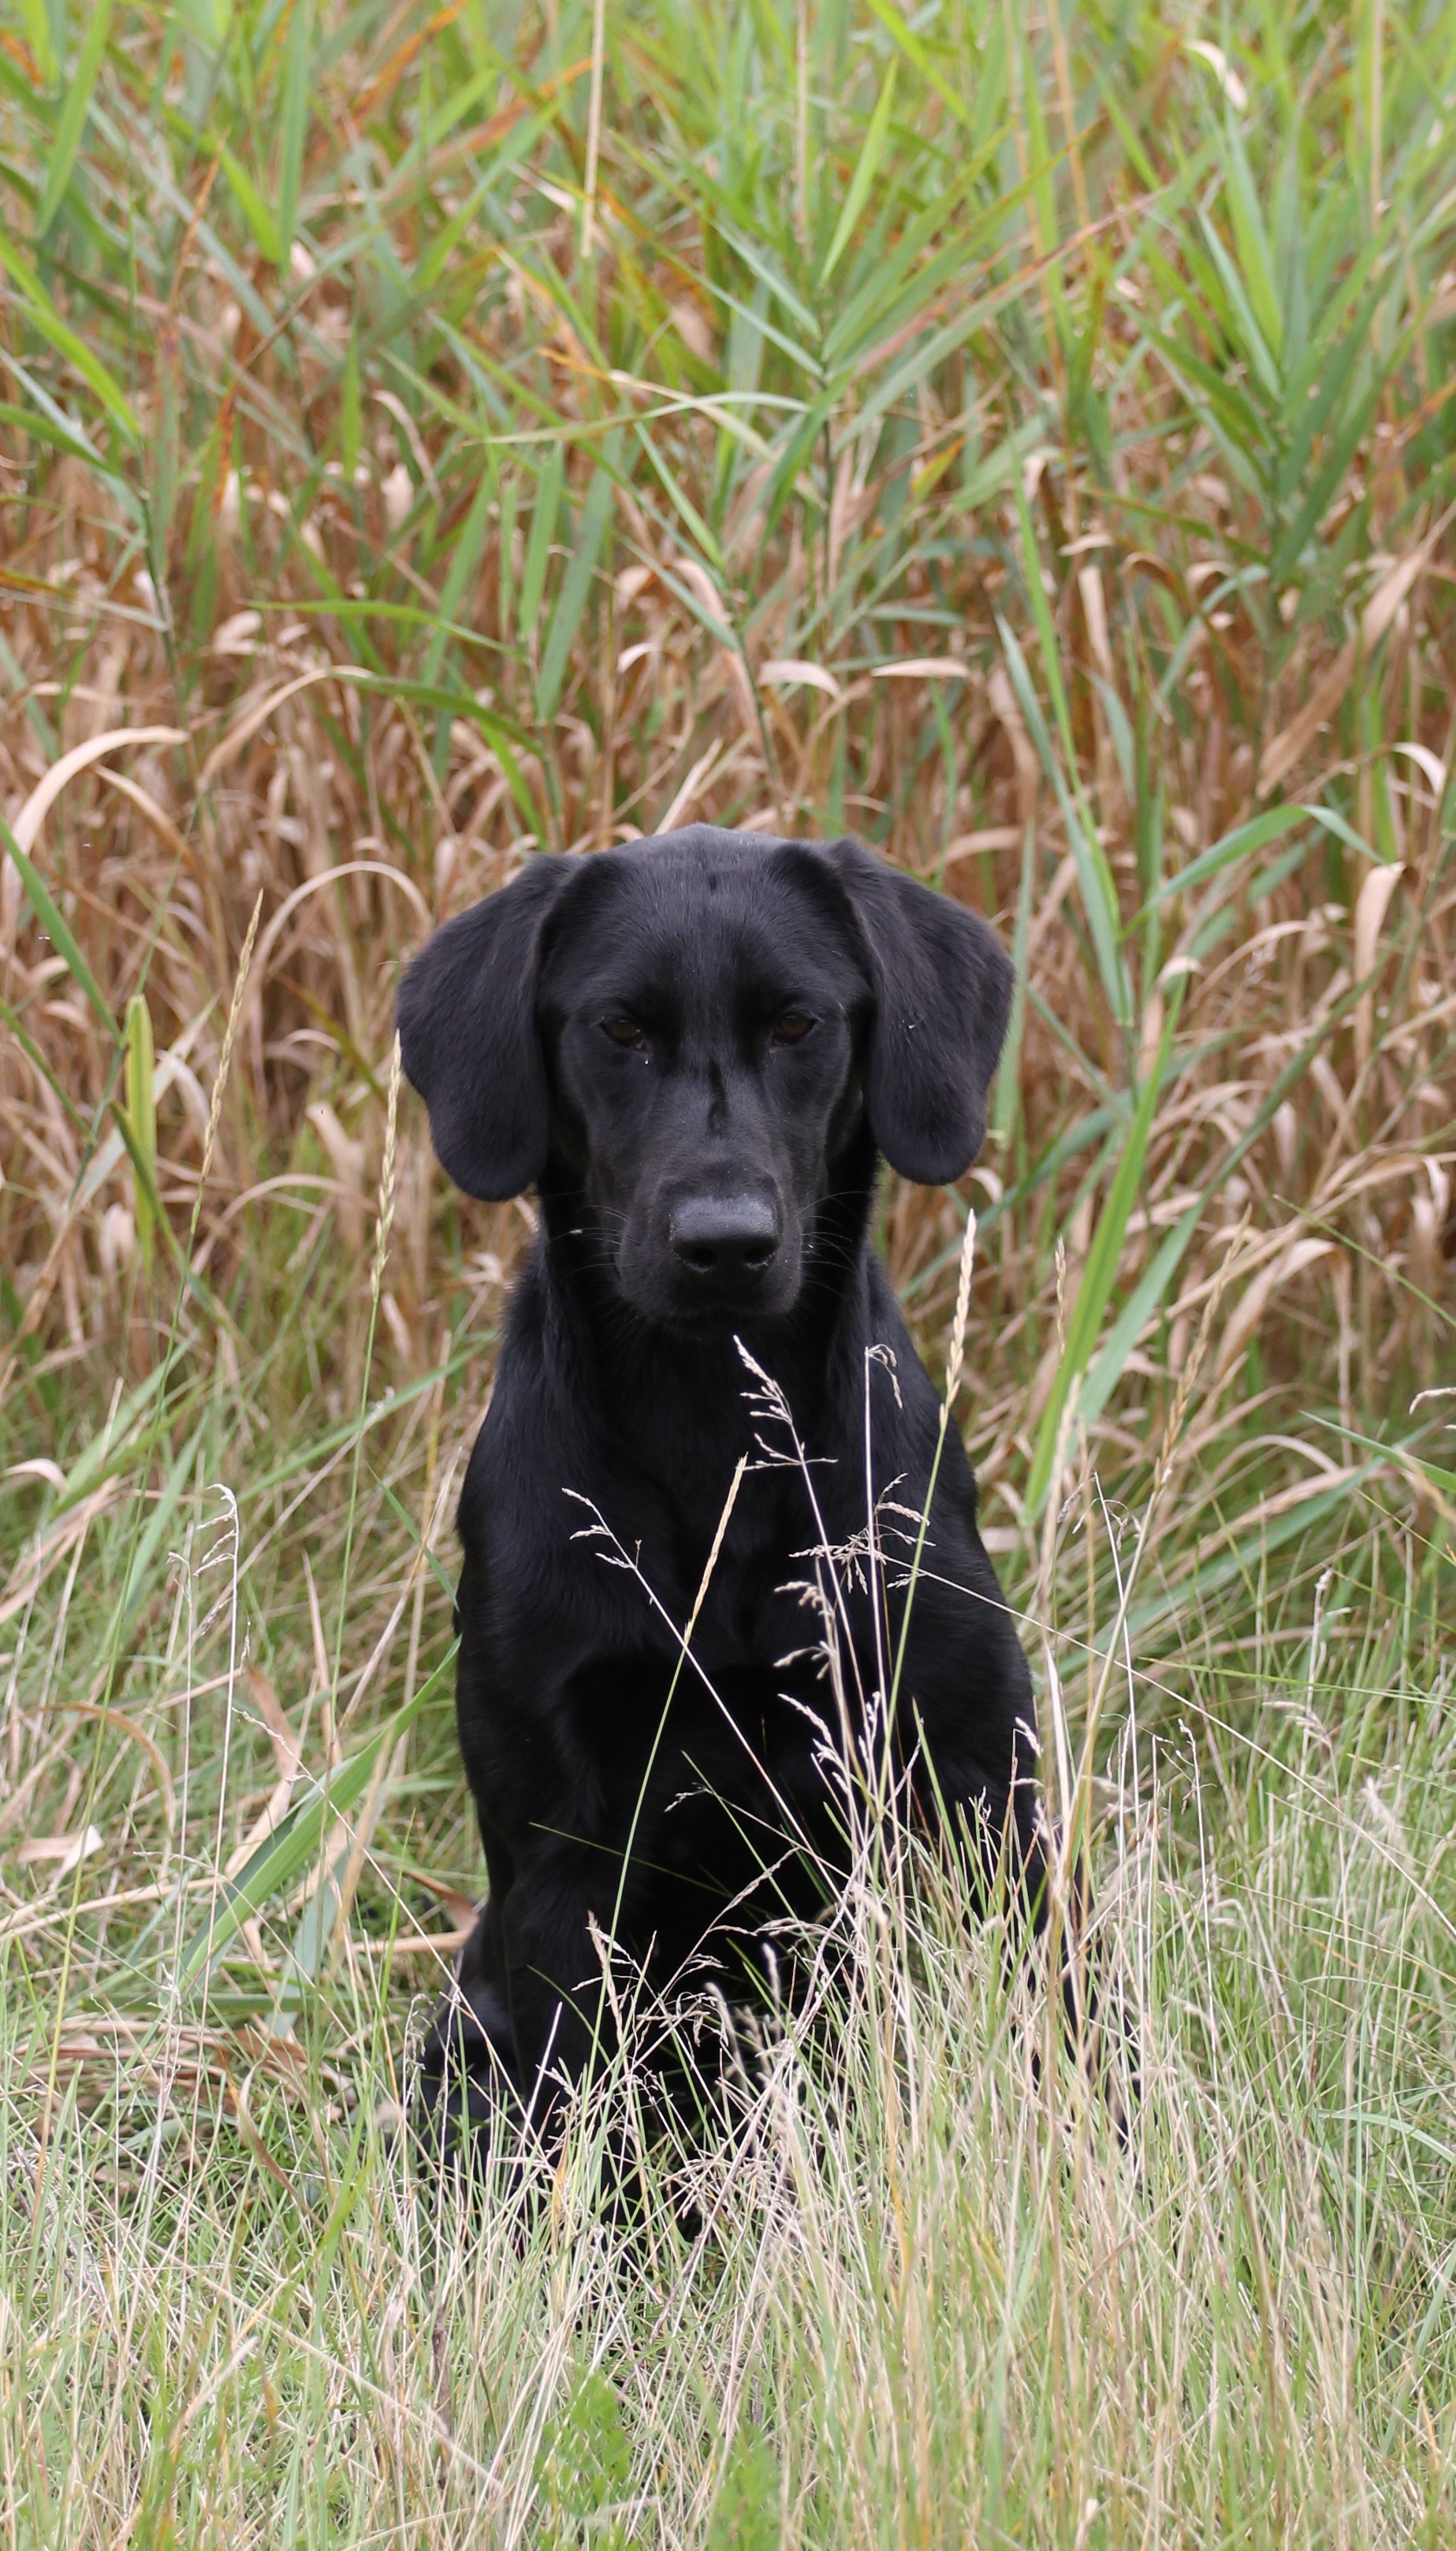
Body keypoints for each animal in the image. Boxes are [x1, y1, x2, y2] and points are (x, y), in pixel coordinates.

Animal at [397, 826, 1050, 2143]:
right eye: (618, 1027)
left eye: (798, 1023)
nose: (723, 1243)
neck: (714, 1434)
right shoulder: (558, 1844)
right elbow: (580, 2118)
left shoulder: (972, 1778)